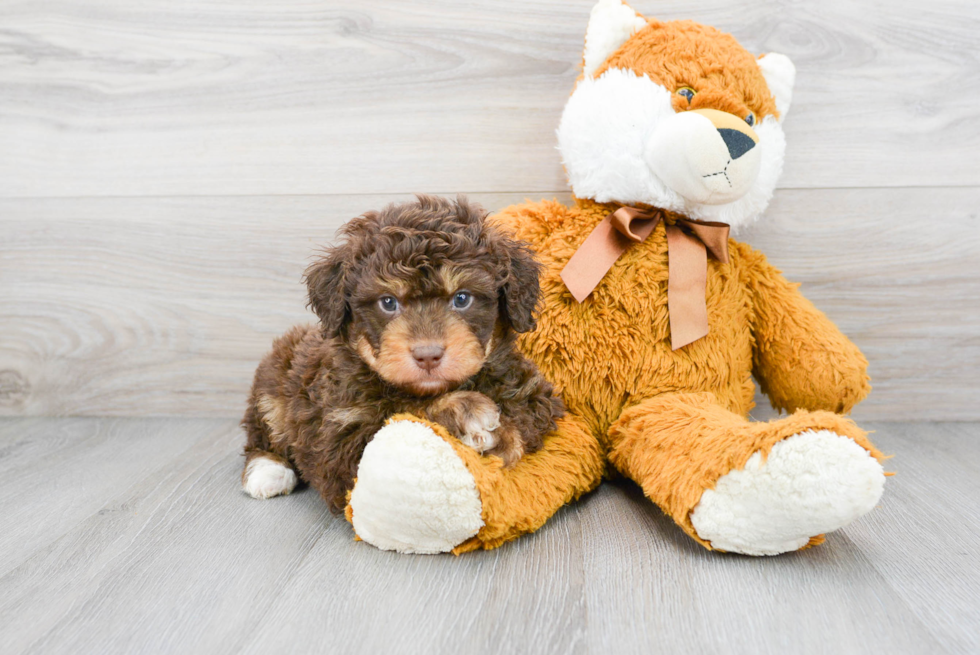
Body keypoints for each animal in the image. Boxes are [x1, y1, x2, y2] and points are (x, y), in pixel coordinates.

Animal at [240, 195, 564, 512]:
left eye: (462, 298)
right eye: (388, 302)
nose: (428, 355)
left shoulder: (533, 398)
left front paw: (499, 437)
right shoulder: (337, 439)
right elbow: (402, 415)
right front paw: (465, 413)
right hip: (271, 387)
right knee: (260, 434)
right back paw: (267, 471)